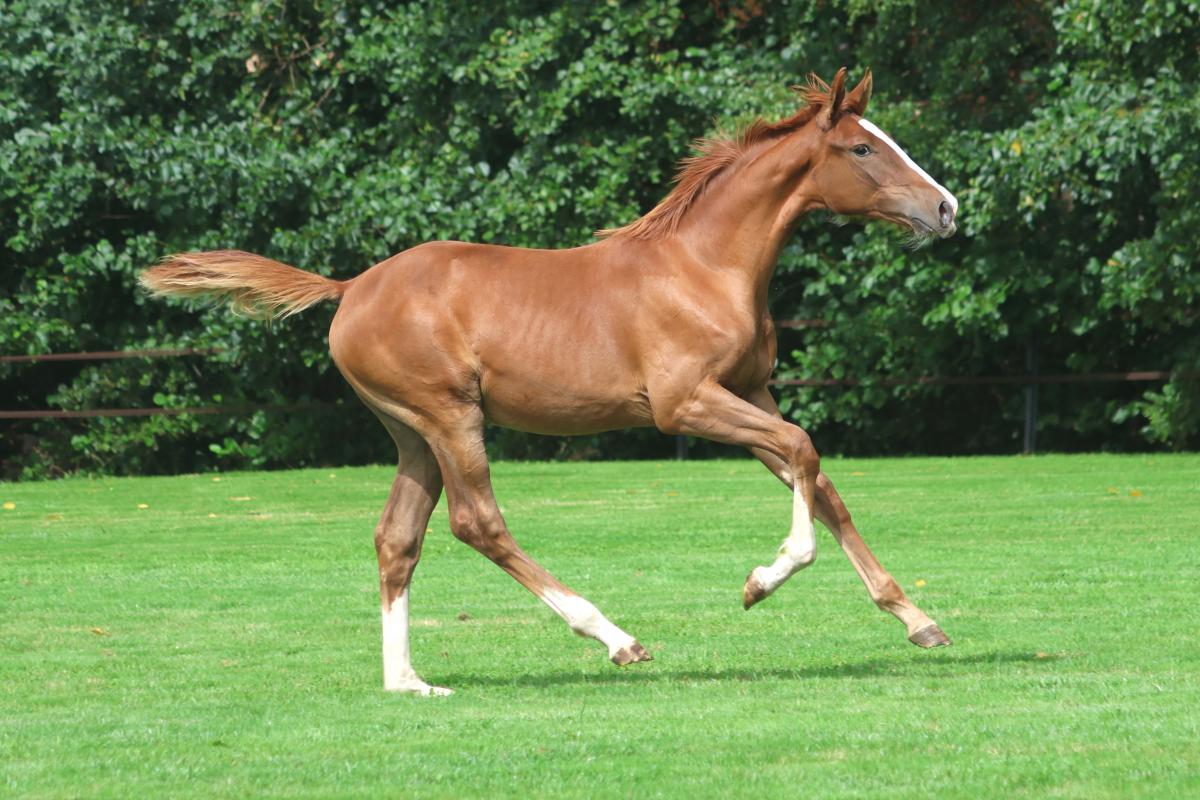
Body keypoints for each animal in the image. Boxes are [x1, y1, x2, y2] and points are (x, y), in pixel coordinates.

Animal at [141, 68, 958, 696]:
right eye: (861, 146)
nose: (946, 207)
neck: (704, 267)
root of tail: (349, 288)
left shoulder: (750, 392)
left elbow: (819, 481)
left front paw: (917, 620)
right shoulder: (685, 405)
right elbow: (802, 450)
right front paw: (762, 581)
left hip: (411, 434)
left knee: (397, 538)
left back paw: (409, 682)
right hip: (450, 417)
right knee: (477, 523)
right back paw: (615, 637)